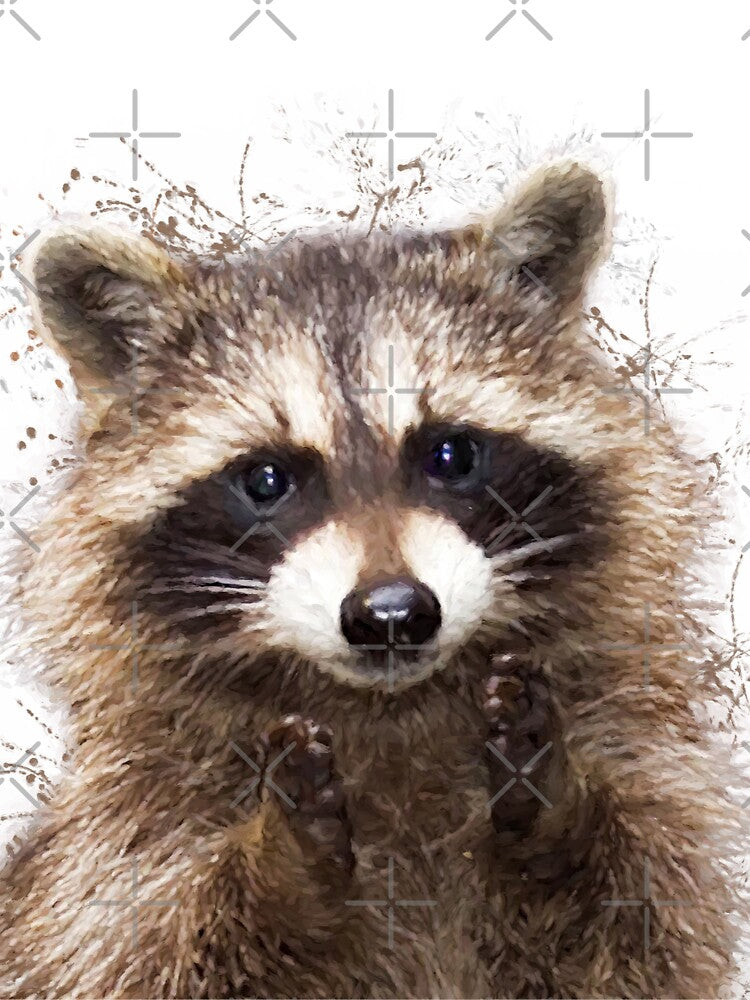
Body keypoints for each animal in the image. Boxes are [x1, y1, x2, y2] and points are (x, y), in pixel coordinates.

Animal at [0, 162, 741, 999]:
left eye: (451, 454)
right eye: (266, 480)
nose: (392, 613)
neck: (390, 714)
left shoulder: (634, 738)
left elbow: (648, 915)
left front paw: (562, 805)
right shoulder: (123, 833)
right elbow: (141, 948)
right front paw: (277, 864)